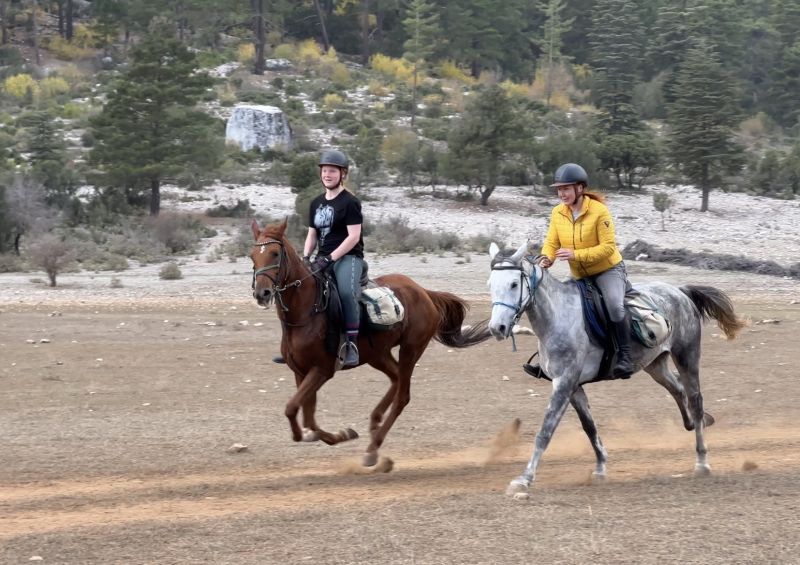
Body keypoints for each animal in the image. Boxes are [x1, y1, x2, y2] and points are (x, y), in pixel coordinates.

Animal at [250, 218, 490, 464]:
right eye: (252, 256)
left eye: (275, 254)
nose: (262, 293)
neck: (307, 311)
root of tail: (423, 292)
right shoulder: (300, 371)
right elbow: (308, 421)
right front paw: (342, 434)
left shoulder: (322, 370)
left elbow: (292, 409)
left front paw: (340, 434)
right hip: (378, 354)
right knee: (396, 378)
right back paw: (375, 421)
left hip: (410, 349)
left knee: (402, 396)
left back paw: (373, 448)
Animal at [488, 240, 744, 496]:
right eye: (491, 285)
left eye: (513, 284)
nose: (496, 328)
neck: (558, 317)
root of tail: (680, 292)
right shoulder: (574, 387)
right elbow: (589, 427)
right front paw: (600, 467)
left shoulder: (564, 383)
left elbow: (545, 431)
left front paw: (524, 478)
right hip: (656, 365)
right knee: (678, 390)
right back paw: (693, 423)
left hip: (687, 357)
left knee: (695, 400)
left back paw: (702, 462)